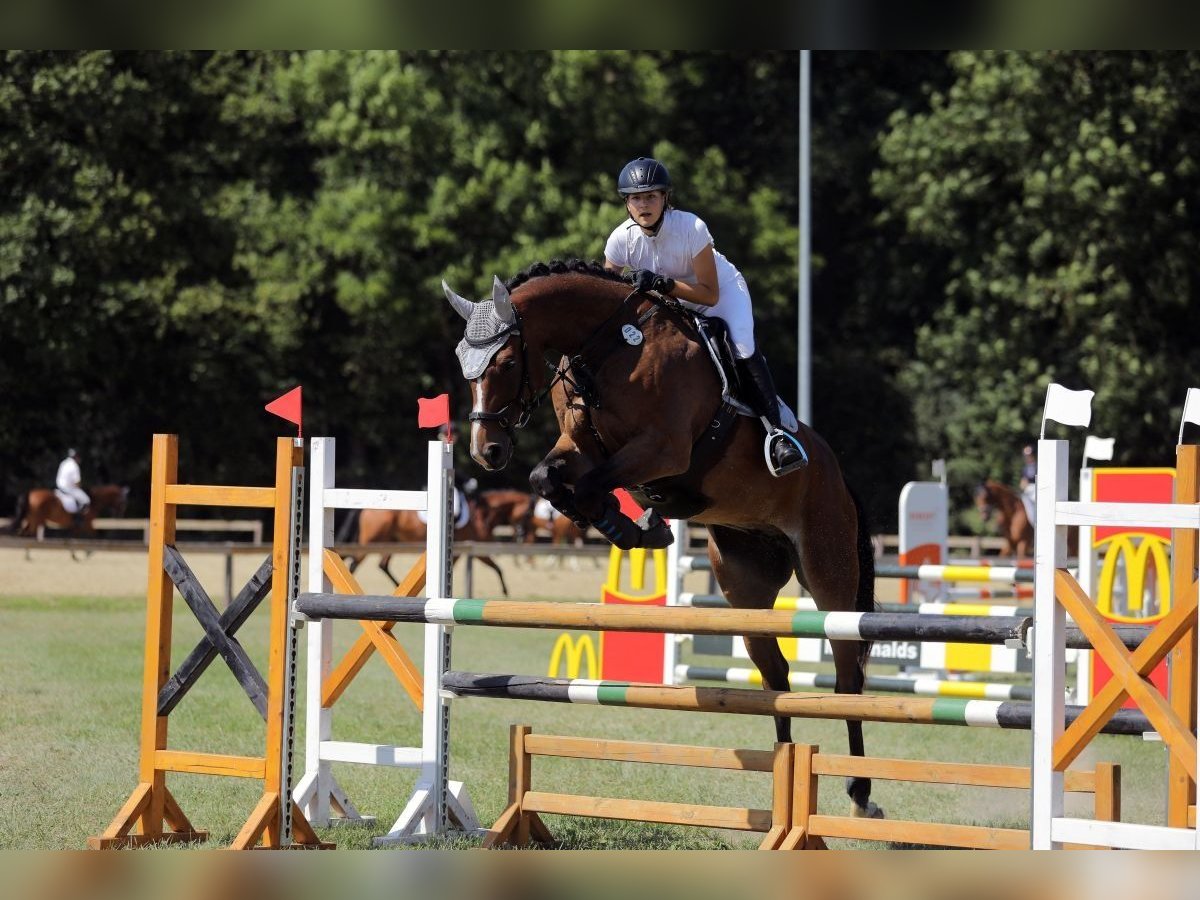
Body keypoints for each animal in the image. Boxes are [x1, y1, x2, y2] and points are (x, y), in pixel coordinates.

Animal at [446, 262, 878, 825]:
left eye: (506, 360)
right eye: (463, 364)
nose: (487, 452)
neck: (608, 346)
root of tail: (839, 477)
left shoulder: (661, 449)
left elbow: (591, 484)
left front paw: (631, 523)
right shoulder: (579, 446)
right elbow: (549, 478)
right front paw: (631, 524)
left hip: (829, 570)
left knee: (848, 677)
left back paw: (860, 791)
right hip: (746, 586)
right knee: (776, 678)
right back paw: (784, 782)